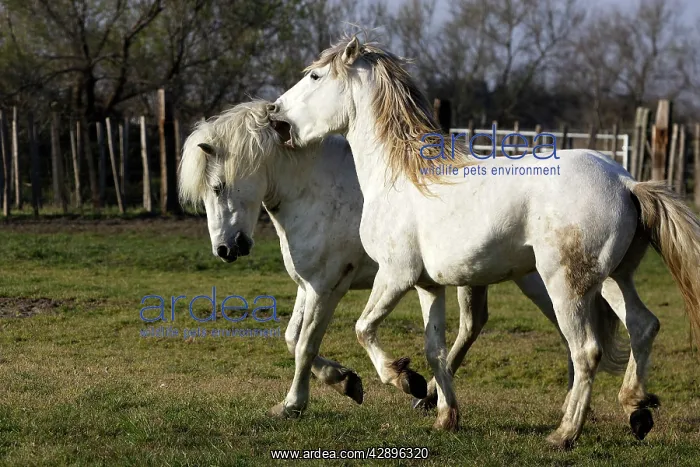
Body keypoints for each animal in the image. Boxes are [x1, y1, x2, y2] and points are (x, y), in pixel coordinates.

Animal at [177, 100, 625, 422]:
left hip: (552, 280)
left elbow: (305, 344)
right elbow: (292, 339)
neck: (316, 188)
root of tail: (621, 180)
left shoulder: (327, 287)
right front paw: (346, 381)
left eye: (218, 188)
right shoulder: (309, 286)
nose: (226, 249)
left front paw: (295, 404)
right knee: (478, 326)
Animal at [268, 35, 700, 448]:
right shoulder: (427, 286)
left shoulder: (394, 275)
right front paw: (444, 415)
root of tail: (626, 182)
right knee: (642, 325)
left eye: (315, 76)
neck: (399, 177)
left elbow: (362, 329)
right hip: (613, 278)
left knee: (586, 351)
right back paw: (637, 410)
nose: (274, 112)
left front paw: (403, 380)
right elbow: (435, 349)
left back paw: (564, 434)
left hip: (566, 285)